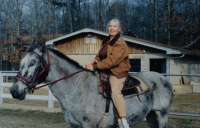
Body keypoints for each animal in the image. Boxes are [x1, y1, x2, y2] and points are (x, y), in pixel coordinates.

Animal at [10, 41, 173, 127]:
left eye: (32, 62)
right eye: (21, 62)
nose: (14, 90)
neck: (76, 89)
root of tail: (164, 79)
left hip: (161, 115)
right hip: (152, 116)